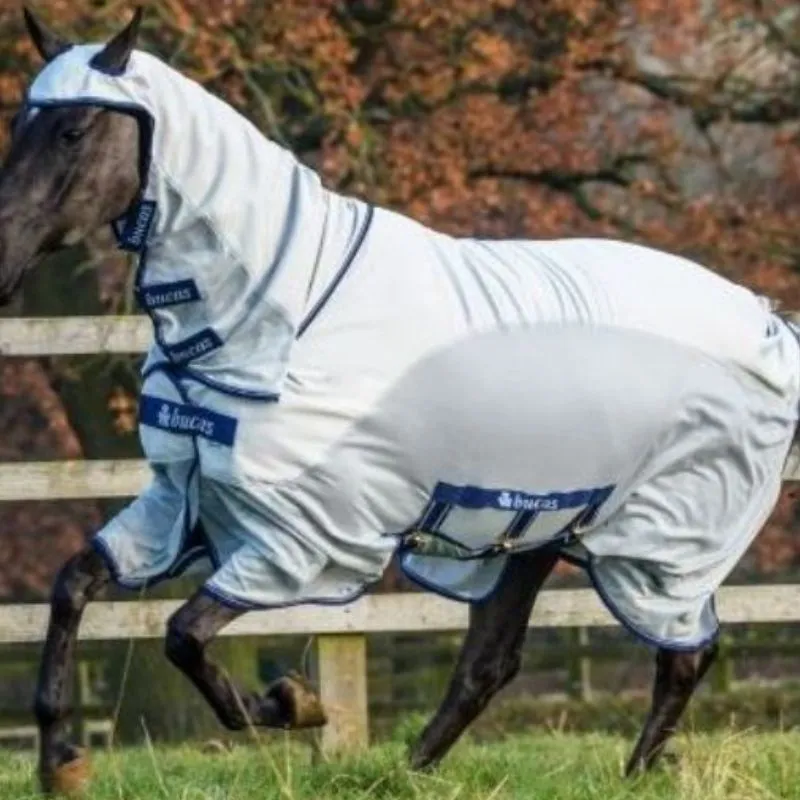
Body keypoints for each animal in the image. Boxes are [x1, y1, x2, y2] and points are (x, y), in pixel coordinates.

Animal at [2, 7, 799, 796]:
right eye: (20, 122)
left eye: (73, 131)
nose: (4, 261)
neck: (284, 310)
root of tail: (765, 319)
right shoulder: (187, 503)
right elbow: (73, 586)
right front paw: (59, 760)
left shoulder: (303, 539)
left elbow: (183, 638)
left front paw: (295, 703)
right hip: (531, 532)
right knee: (490, 663)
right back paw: (414, 770)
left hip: (665, 542)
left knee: (684, 652)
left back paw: (634, 774)